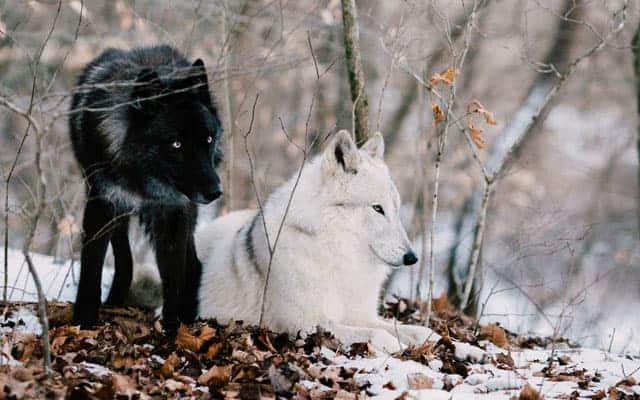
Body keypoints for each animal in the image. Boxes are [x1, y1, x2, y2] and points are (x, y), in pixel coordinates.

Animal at [69, 45, 222, 335]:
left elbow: (173, 277)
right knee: (125, 258)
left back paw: (187, 317)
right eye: (176, 144)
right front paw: (84, 320)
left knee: (193, 265)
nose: (215, 192)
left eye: (208, 139)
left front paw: (173, 332)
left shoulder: (172, 212)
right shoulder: (102, 202)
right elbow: (92, 267)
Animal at [194, 130, 468, 353]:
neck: (337, 254)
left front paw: (461, 347)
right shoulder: (306, 325)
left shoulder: (362, 316)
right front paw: (400, 348)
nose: (412, 257)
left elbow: (420, 330)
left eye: (396, 209)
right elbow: (379, 335)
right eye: (377, 209)